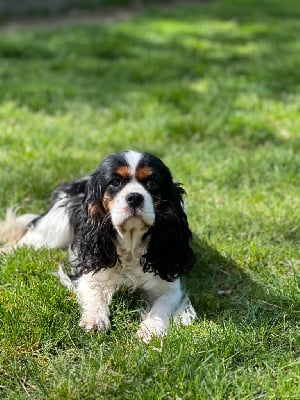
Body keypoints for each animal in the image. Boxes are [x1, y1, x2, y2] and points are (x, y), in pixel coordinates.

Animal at [0, 149, 197, 340]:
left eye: (152, 182)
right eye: (115, 182)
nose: (134, 197)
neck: (130, 246)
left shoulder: (169, 285)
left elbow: (161, 305)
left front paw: (152, 329)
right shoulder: (90, 271)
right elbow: (94, 293)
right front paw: (95, 319)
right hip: (52, 232)